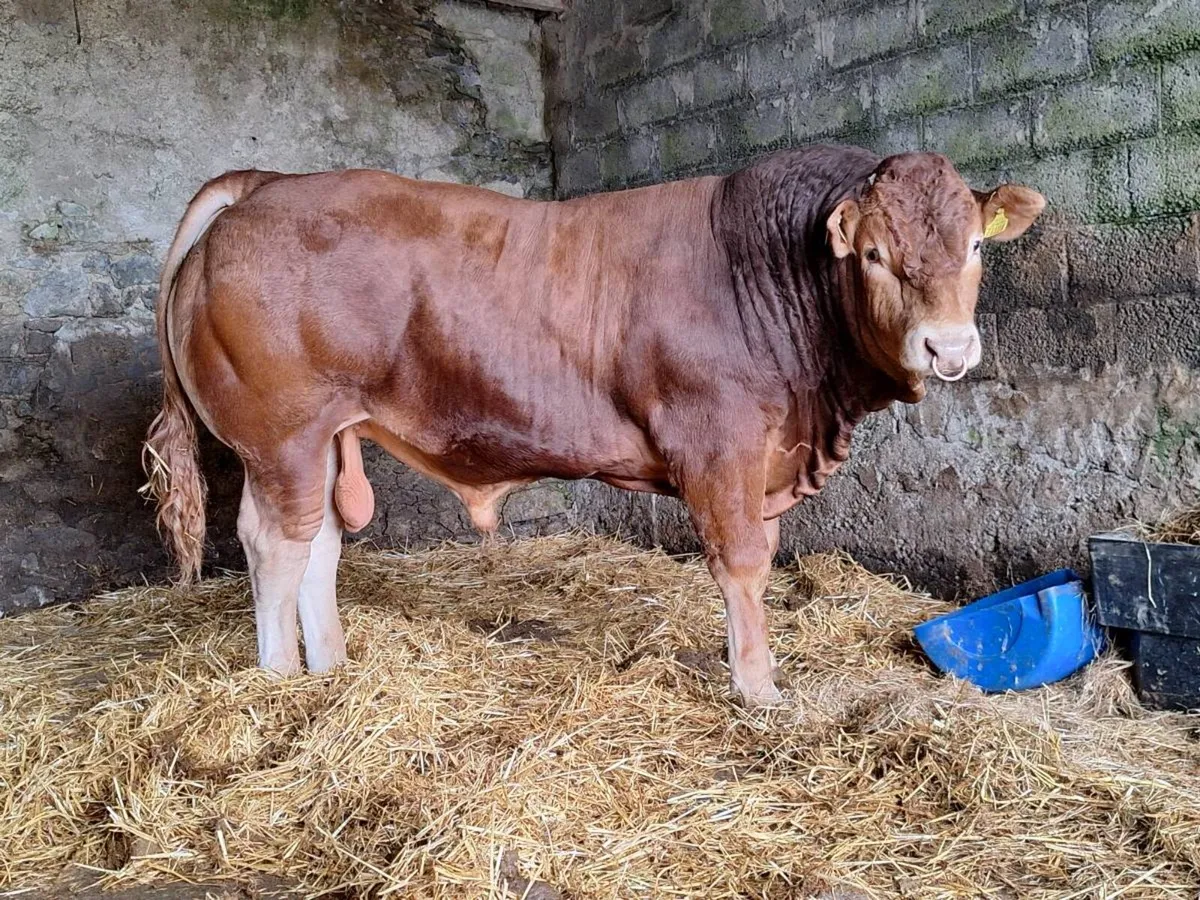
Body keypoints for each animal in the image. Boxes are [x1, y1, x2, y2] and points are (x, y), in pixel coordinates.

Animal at [142, 145, 1044, 707]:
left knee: (320, 542)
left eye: (973, 246)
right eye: (875, 256)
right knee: (274, 543)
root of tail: (266, 184)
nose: (948, 347)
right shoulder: (717, 441)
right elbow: (744, 564)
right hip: (281, 434)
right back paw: (279, 681)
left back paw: (330, 668)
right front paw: (758, 688)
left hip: (328, 435)